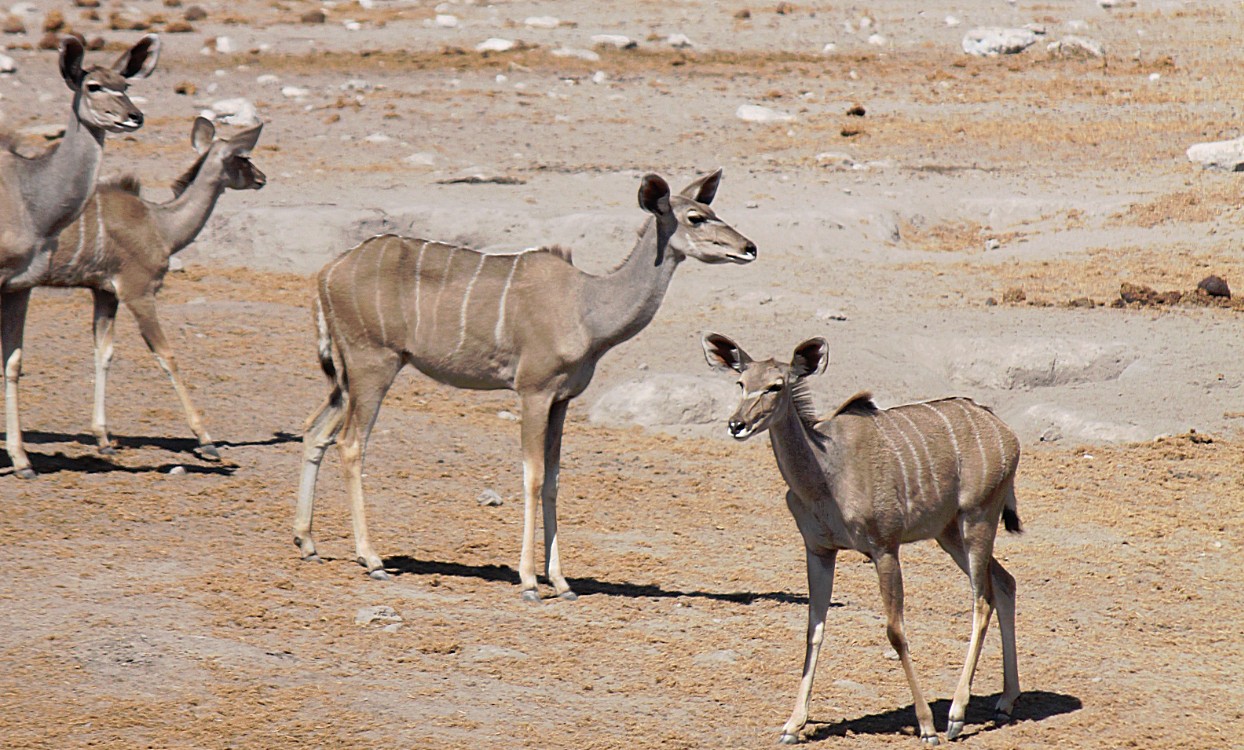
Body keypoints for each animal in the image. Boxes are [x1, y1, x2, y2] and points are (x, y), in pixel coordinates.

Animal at [0, 35, 160, 477]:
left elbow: (13, 363)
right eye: (94, 86)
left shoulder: (19, 287)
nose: (134, 116)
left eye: (125, 83)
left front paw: (22, 461)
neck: (29, 197)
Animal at [43, 118, 264, 460]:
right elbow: (166, 355)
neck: (161, 225)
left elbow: (103, 353)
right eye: (243, 158)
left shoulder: (105, 294)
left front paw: (104, 439)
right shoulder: (138, 293)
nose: (262, 178)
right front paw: (206, 439)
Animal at [298, 170, 756, 599]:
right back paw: (371, 558)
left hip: (347, 376)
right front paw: (530, 582)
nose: (749, 247)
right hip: (373, 364)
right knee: (350, 443)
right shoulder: (533, 391)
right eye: (695, 217)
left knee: (315, 429)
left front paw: (563, 582)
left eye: (712, 210)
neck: (586, 307)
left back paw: (307, 543)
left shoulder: (562, 399)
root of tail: (326, 272)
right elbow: (532, 476)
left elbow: (553, 480)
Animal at [706, 335, 1025, 750]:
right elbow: (814, 629)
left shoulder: (884, 548)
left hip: (978, 518)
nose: (737, 424)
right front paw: (792, 725)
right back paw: (1006, 700)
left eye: (776, 385)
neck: (826, 476)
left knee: (982, 599)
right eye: (741, 383)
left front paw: (927, 726)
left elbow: (895, 630)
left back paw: (956, 716)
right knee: (1005, 582)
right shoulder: (819, 551)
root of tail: (1007, 434)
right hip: (949, 532)